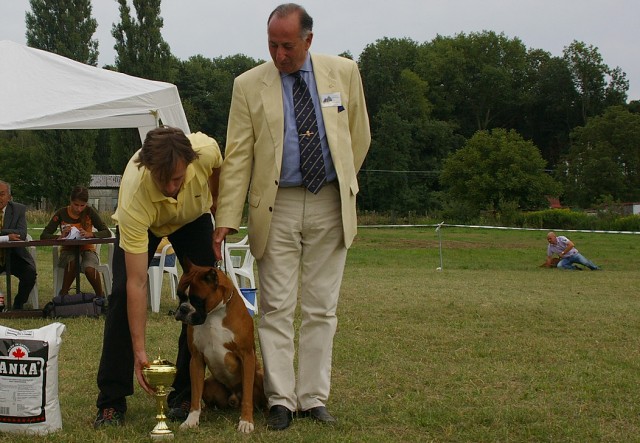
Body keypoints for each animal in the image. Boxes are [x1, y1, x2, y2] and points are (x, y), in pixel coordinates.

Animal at [172, 260, 264, 434]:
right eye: (180, 296)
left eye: (197, 300)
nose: (183, 309)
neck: (213, 314)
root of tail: (234, 398)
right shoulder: (196, 359)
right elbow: (195, 395)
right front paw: (191, 420)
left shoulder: (247, 356)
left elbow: (247, 396)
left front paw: (246, 422)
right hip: (209, 384)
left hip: (262, 377)